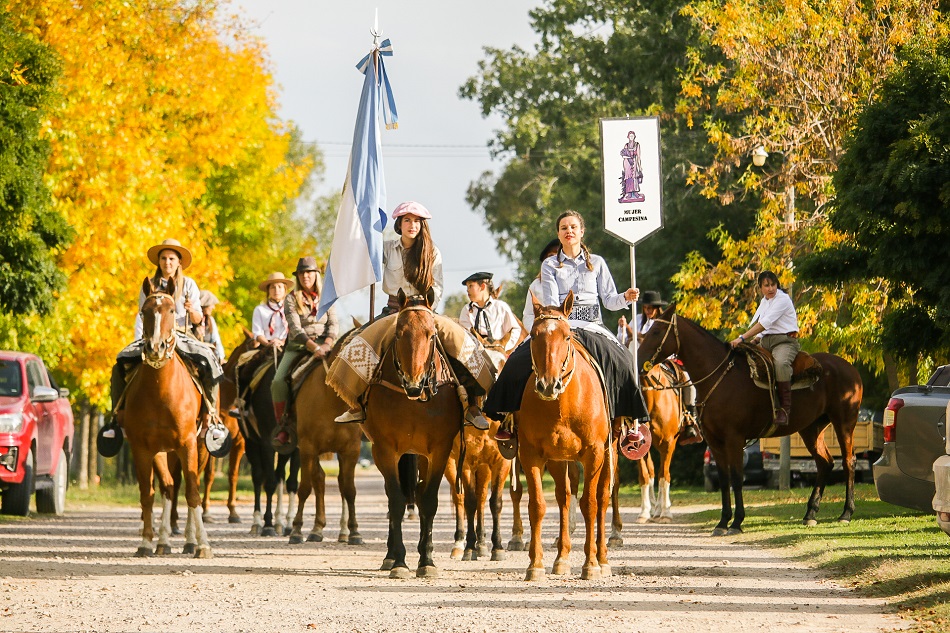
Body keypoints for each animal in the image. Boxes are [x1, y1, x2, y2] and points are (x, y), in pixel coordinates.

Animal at [122, 278, 212, 556]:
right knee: (169, 487)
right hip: (163, 452)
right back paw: (163, 541)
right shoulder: (143, 448)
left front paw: (203, 544)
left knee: (189, 487)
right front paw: (146, 542)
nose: (155, 347)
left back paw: (191, 540)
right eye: (144, 311)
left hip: (199, 449)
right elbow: (148, 494)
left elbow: (192, 493)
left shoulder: (188, 444)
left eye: (172, 311)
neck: (160, 391)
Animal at [288, 334, 362, 544]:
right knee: (318, 480)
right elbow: (305, 487)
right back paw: (314, 529)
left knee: (332, 481)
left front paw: (354, 532)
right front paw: (296, 530)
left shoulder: (351, 450)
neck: (331, 400)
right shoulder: (307, 448)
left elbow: (349, 489)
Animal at [362, 288, 466, 576]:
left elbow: (428, 500)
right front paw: (398, 561)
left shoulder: (439, 450)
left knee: (418, 493)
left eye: (431, 334)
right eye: (398, 333)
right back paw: (389, 556)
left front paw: (427, 560)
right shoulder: (384, 449)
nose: (414, 382)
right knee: (394, 495)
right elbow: (396, 500)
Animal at [516, 290, 612, 576]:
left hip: (609, 453)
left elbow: (590, 504)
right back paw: (562, 558)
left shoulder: (594, 454)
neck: (563, 405)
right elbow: (537, 505)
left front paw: (591, 564)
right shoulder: (531, 455)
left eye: (566, 336)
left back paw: (602, 559)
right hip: (559, 460)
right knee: (564, 499)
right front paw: (536, 565)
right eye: (534, 335)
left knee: (602, 498)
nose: (548, 384)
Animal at [636, 304, 868, 532]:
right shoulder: (715, 441)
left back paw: (846, 513)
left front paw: (737, 522)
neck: (719, 376)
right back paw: (810, 513)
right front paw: (722, 522)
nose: (637, 361)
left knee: (848, 461)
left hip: (844, 422)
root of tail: (850, 369)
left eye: (656, 331)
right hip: (811, 428)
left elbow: (738, 478)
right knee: (825, 463)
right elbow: (724, 479)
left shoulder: (734, 439)